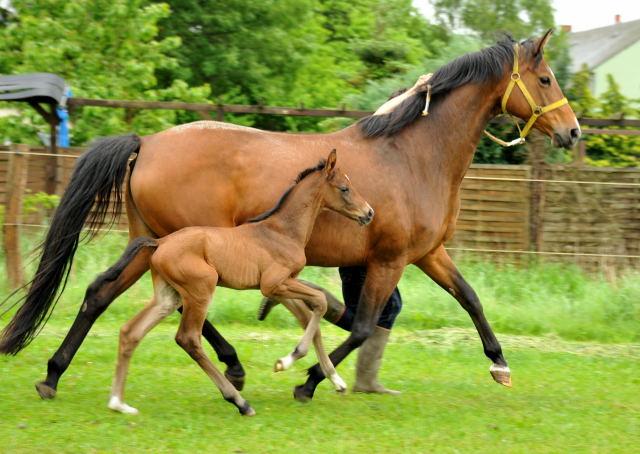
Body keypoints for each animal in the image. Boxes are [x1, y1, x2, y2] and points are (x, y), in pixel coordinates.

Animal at [102, 151, 372, 416]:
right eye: (344, 188)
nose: (369, 212)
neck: (283, 231)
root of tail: (160, 243)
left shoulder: (283, 286)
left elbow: (310, 319)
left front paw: (336, 381)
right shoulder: (273, 284)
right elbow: (320, 301)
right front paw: (286, 361)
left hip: (168, 296)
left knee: (130, 332)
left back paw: (118, 403)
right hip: (201, 288)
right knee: (188, 339)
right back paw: (240, 402)